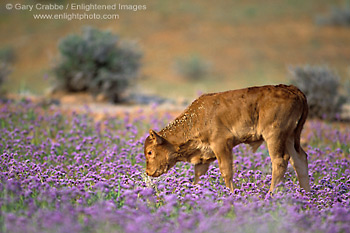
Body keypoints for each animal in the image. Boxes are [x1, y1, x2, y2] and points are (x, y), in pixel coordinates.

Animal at [144, 84, 310, 194]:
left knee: (280, 161)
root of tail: (295, 91)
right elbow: (198, 176)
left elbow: (226, 171)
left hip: (274, 136)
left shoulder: (221, 145)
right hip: (289, 137)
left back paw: (271, 195)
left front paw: (231, 194)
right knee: (299, 159)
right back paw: (307, 195)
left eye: (150, 152)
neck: (196, 118)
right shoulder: (203, 158)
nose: (148, 172)